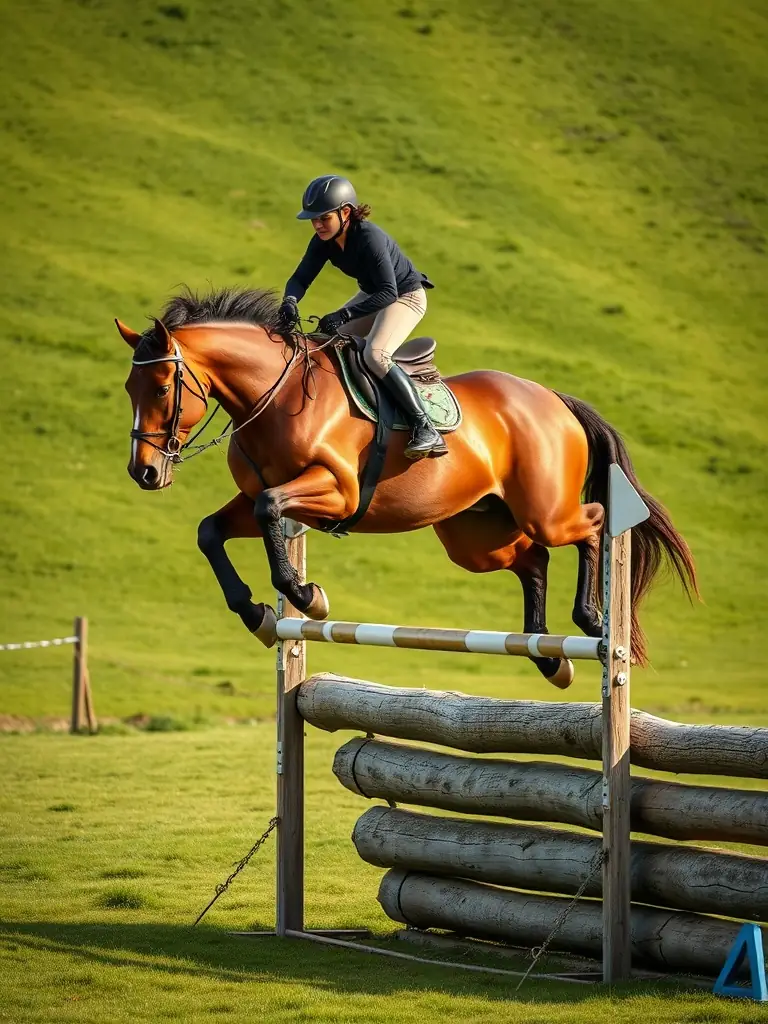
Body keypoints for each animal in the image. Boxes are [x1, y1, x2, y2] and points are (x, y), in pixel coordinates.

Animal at [118, 287, 697, 687]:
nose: (143, 473)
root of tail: (553, 399)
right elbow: (210, 530)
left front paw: (306, 596)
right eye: (129, 387)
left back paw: (592, 617)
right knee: (533, 560)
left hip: (545, 511)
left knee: (594, 523)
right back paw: (547, 656)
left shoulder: (336, 492)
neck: (274, 396)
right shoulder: (266, 500)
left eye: (163, 387)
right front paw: (258, 614)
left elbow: (267, 509)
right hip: (477, 535)